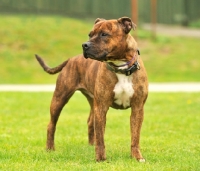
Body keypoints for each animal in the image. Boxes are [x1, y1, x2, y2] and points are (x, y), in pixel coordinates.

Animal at [35, 16, 148, 162]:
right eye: (90, 34)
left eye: (104, 34)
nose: (85, 45)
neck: (121, 67)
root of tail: (71, 59)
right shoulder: (101, 108)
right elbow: (100, 137)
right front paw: (100, 158)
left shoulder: (137, 108)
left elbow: (135, 136)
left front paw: (137, 157)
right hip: (59, 98)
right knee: (51, 125)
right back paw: (50, 148)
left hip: (92, 102)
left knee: (90, 122)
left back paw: (90, 146)